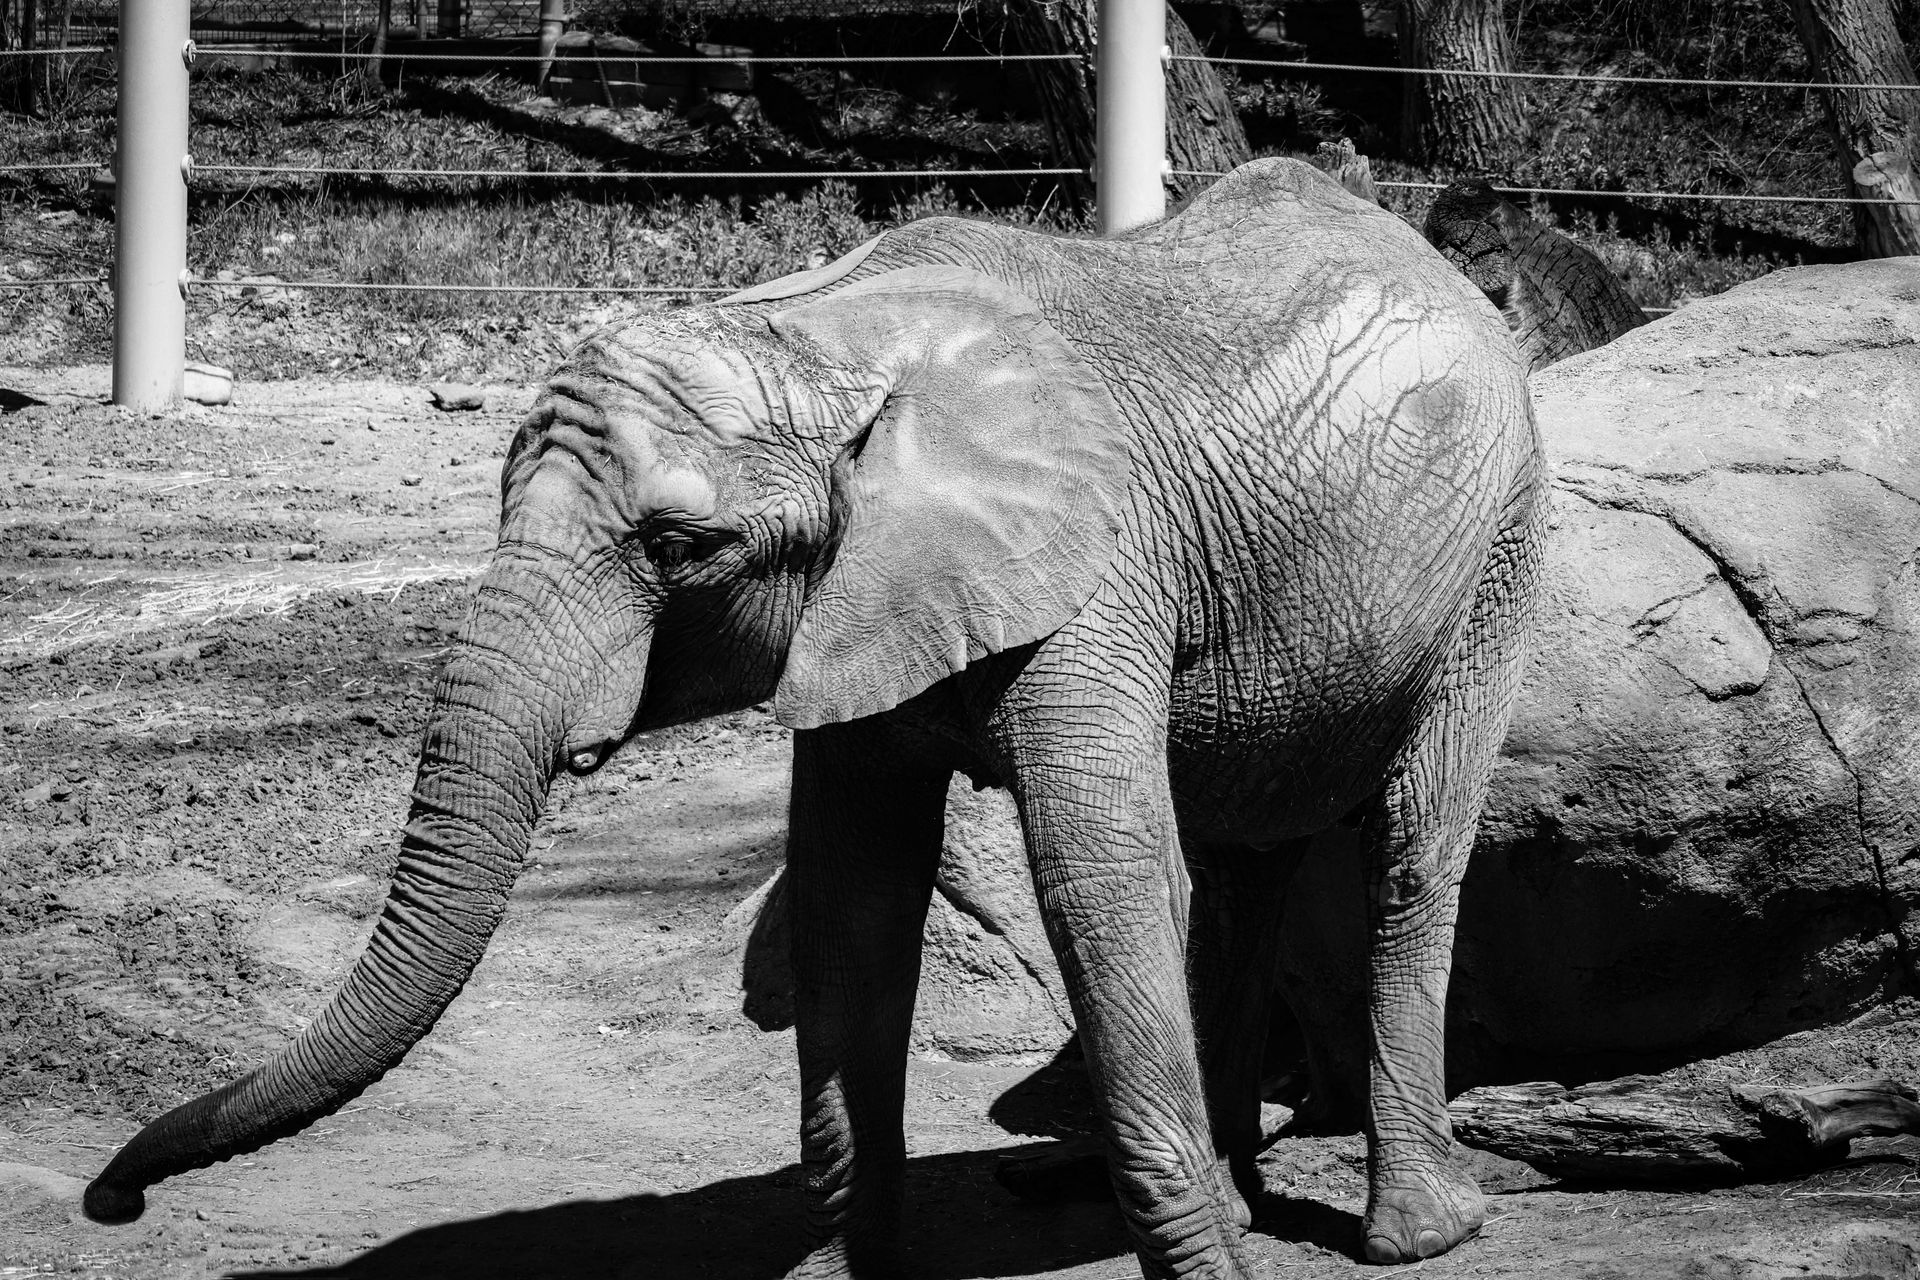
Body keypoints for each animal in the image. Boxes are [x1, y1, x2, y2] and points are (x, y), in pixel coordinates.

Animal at [83, 158, 1548, 1276]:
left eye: (678, 546)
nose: (113, 1197)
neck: (822, 338)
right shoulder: (864, 608)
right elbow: (854, 903)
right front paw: (839, 1274)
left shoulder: (1097, 577)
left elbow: (1104, 885)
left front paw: (1203, 1271)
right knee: (1252, 856)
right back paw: (1254, 1196)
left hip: (1498, 552)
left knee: (1408, 849)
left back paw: (1420, 1234)